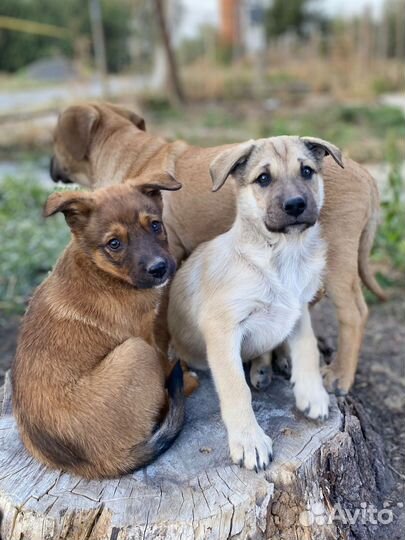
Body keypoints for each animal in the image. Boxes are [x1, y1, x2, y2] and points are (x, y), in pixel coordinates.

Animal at [50, 102, 386, 396]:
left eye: (54, 140)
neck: (132, 153)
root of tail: (366, 175)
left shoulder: (168, 258)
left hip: (336, 259)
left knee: (354, 312)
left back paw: (339, 374)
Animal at [166, 137, 340, 470]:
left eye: (307, 171)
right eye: (263, 178)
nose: (296, 205)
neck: (282, 255)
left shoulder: (299, 312)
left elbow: (307, 350)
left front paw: (313, 394)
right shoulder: (222, 330)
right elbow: (237, 389)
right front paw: (249, 441)